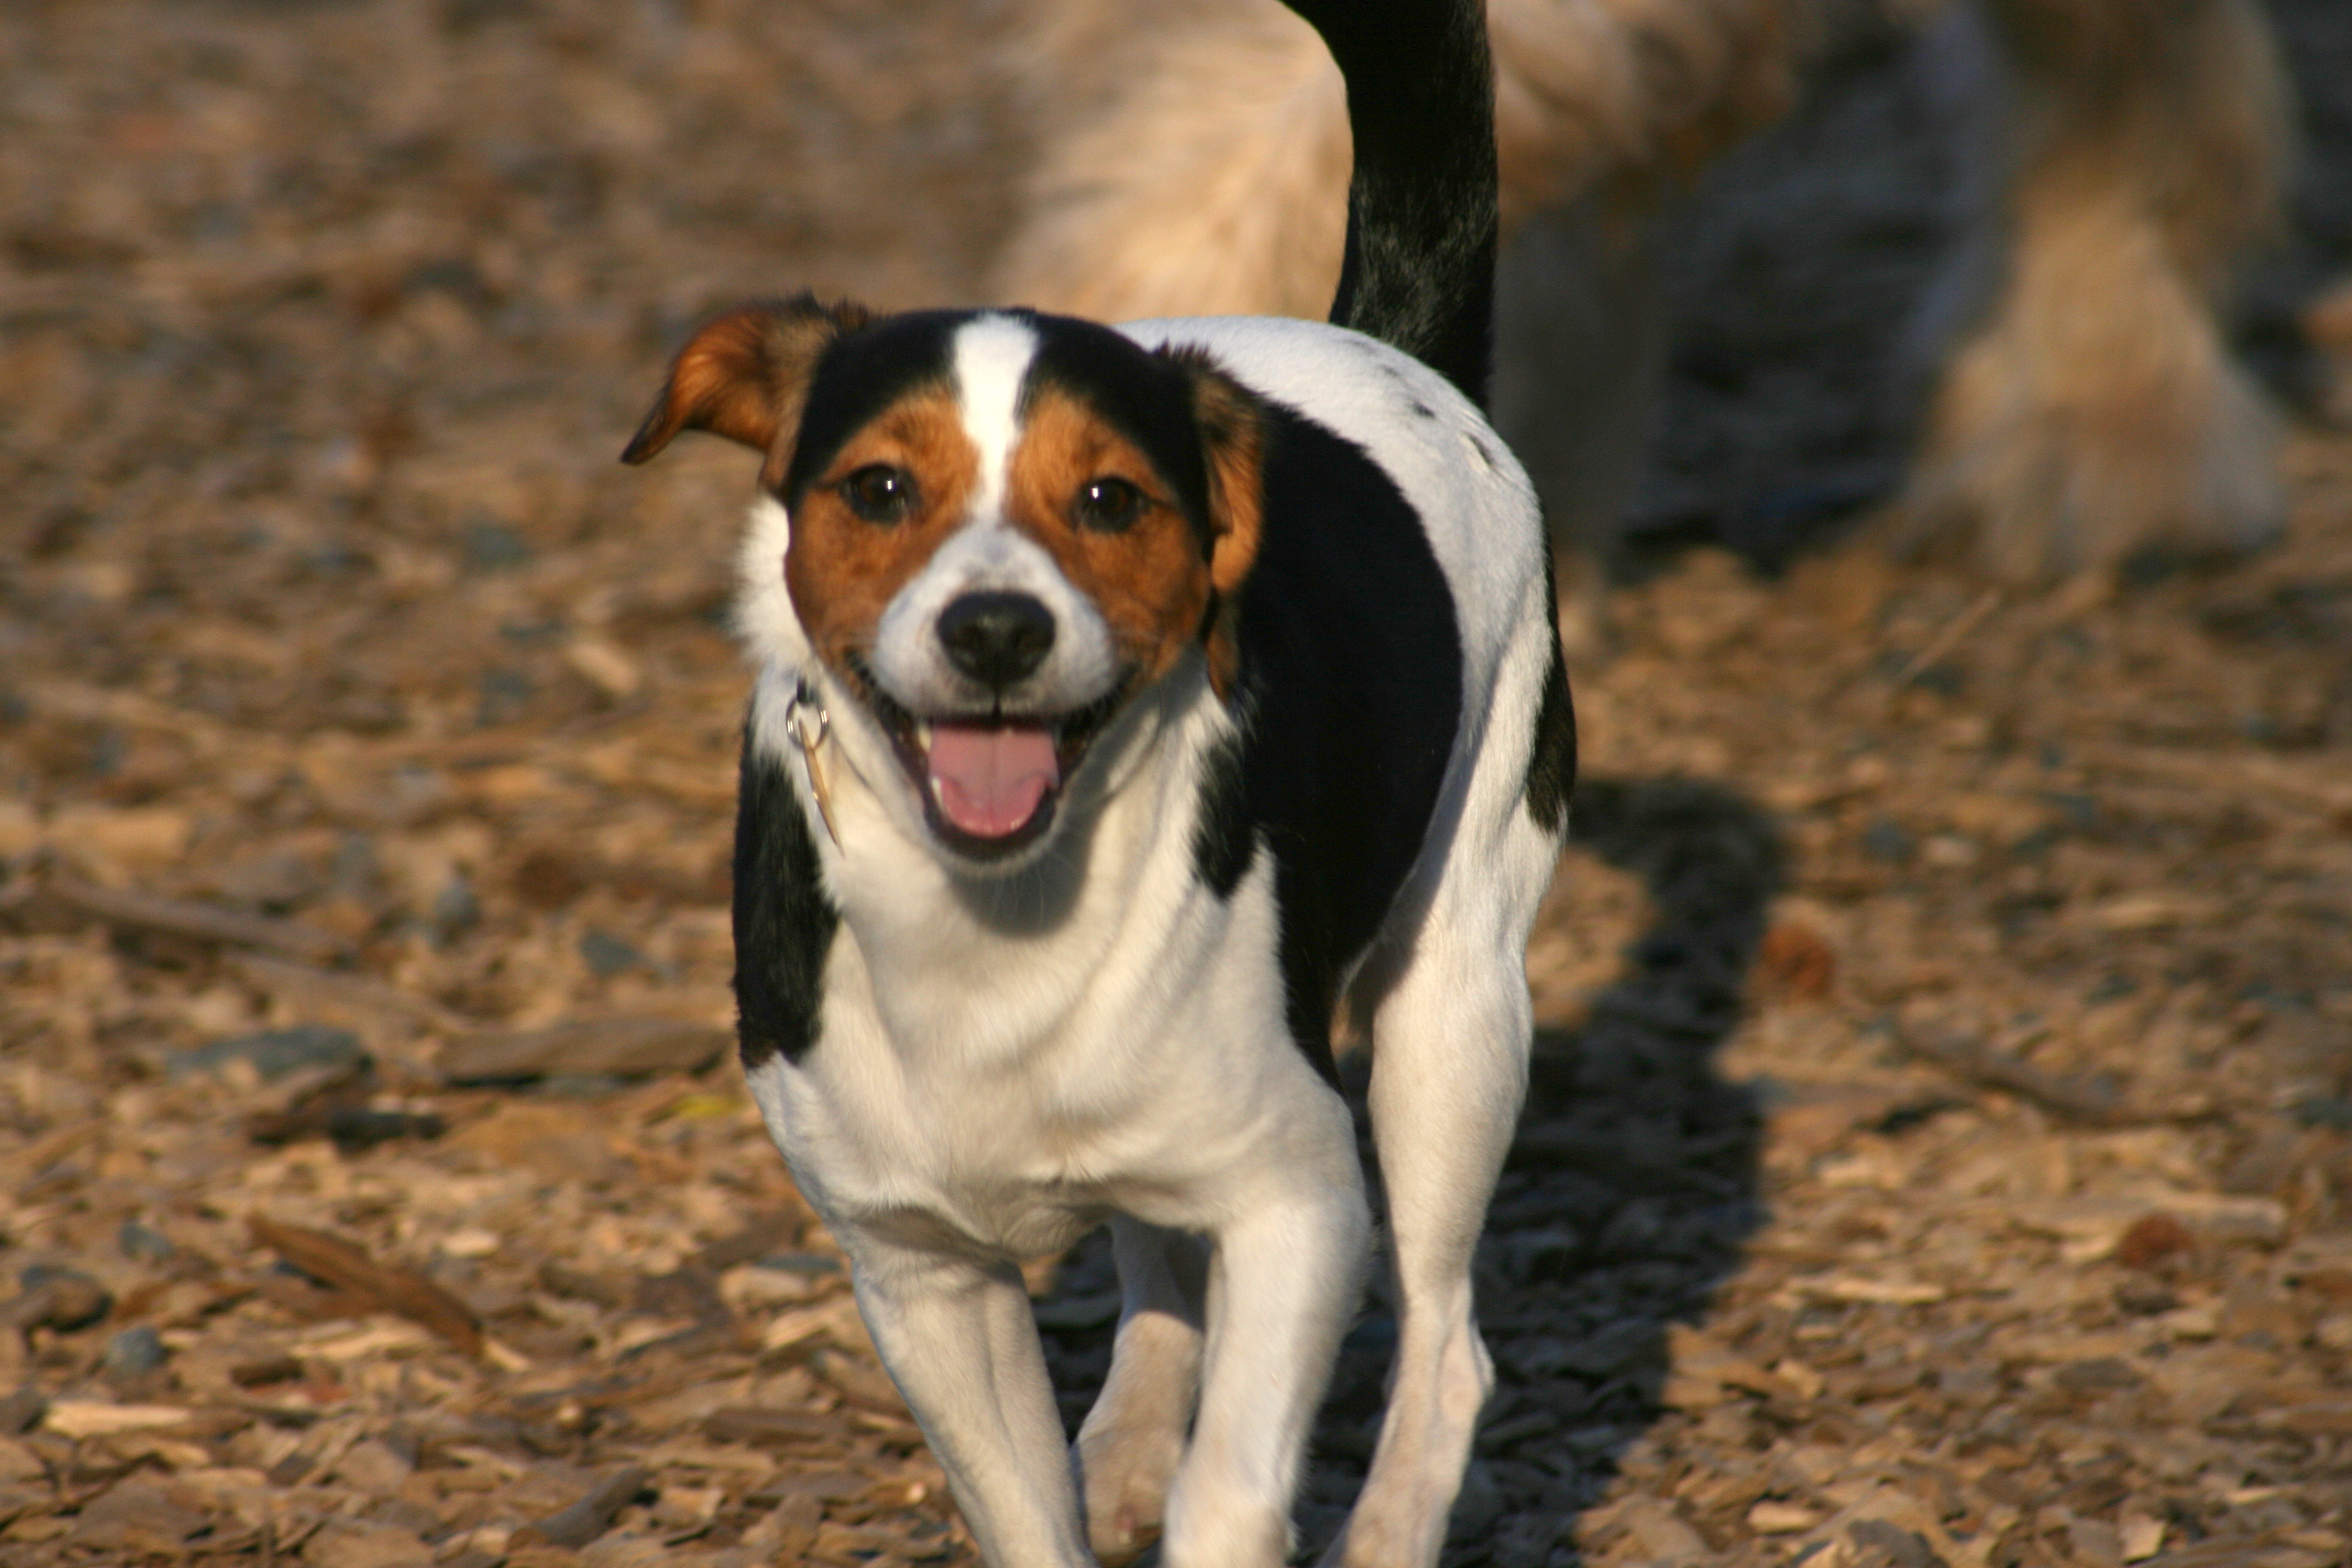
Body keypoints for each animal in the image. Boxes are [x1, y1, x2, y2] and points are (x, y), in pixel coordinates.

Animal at [618, 1, 1569, 1563]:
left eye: (1111, 499)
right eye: (881, 489)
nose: (996, 629)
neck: (994, 919)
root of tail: (1376, 343)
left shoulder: (1300, 1200)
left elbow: (1235, 1485)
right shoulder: (922, 1276)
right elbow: (1026, 1507)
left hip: (1454, 1017)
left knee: (1446, 1349)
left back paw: (1385, 1525)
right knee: (1158, 1262)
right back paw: (1129, 1436)